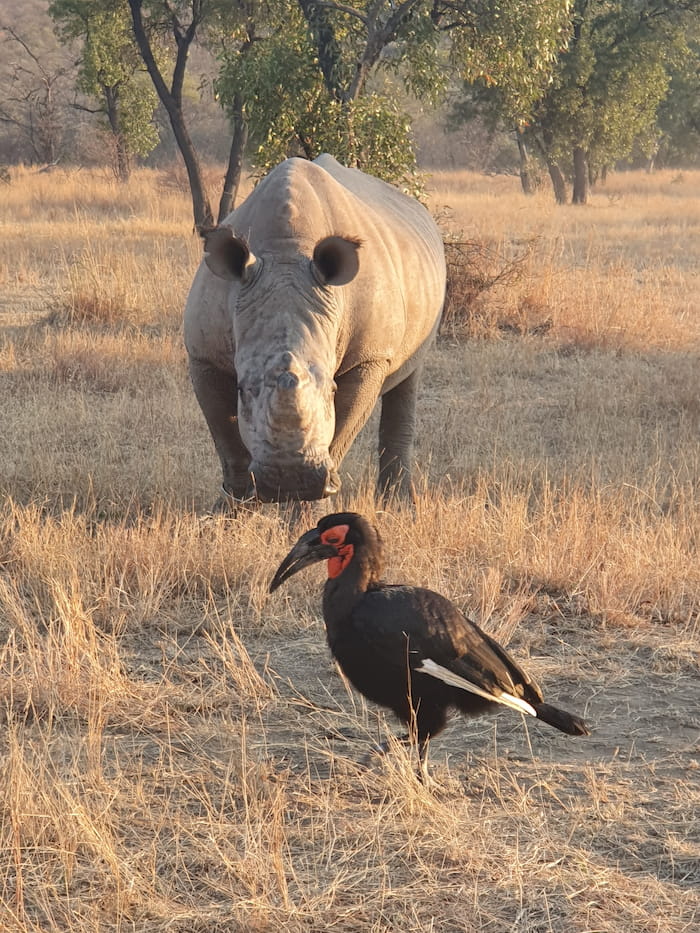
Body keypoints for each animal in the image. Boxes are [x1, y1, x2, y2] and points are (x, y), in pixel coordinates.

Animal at [184, 154, 446, 505]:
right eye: (242, 389)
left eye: (331, 389)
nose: (289, 480)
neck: (287, 251)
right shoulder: (203, 353)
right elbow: (228, 443)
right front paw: (229, 511)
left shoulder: (369, 357)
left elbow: (339, 435)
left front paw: (312, 510)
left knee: (408, 375)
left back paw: (397, 505)